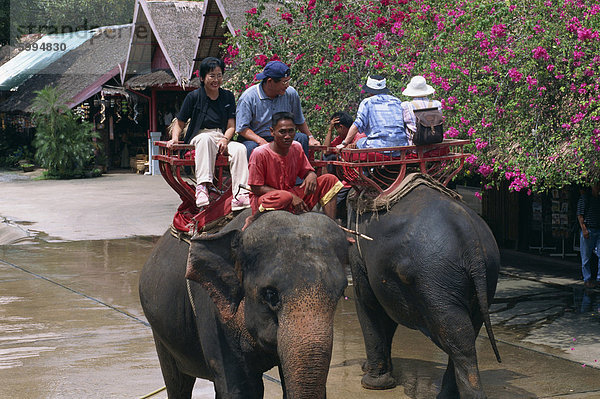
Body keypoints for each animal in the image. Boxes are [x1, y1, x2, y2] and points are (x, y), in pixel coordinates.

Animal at [139, 211, 350, 398]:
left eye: (340, 293)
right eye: (271, 295)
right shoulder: (212, 314)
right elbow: (242, 390)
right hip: (160, 334)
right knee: (178, 384)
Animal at [346, 180, 502, 399]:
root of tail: (473, 244)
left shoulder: (359, 255)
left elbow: (368, 302)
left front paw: (373, 384)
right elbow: (388, 314)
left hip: (435, 278)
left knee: (459, 338)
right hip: (485, 278)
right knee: (467, 330)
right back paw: (446, 395)